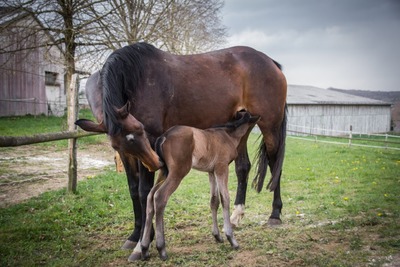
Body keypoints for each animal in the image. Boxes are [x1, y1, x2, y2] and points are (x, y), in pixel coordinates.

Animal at [142, 111, 260, 262]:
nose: (258, 118)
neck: (228, 135)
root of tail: (164, 136)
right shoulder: (222, 168)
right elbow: (225, 198)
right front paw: (231, 239)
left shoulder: (211, 171)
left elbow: (214, 201)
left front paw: (217, 236)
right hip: (178, 172)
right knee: (159, 196)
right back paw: (161, 248)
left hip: (164, 171)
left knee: (150, 196)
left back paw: (144, 248)